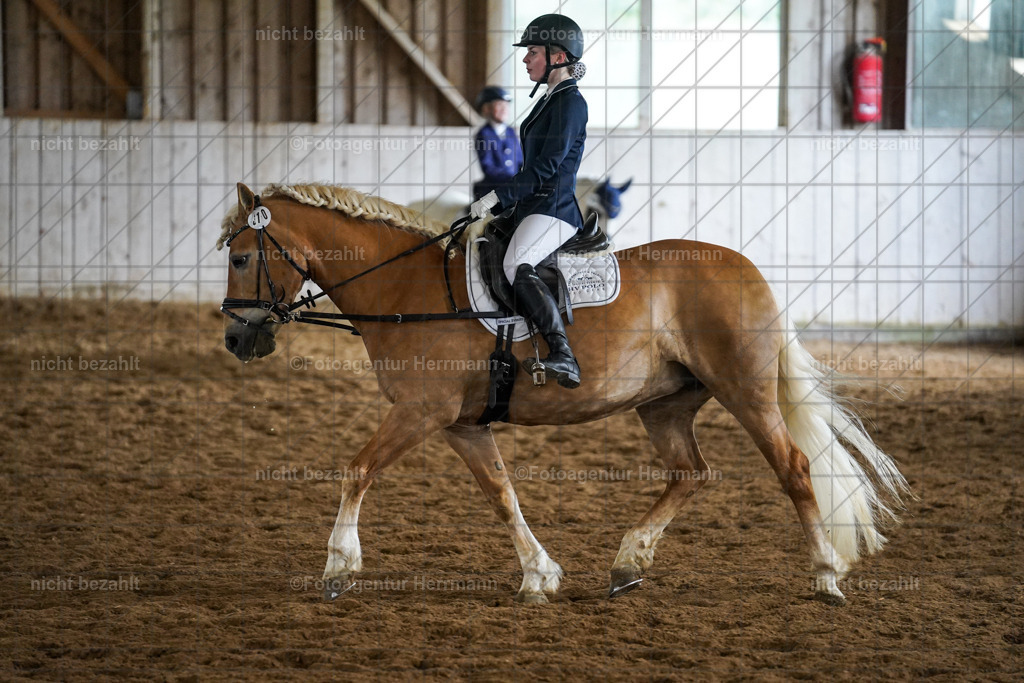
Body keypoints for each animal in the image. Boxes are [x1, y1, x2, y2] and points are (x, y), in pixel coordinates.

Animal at [219, 181, 909, 605]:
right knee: (691, 473)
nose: (235, 336)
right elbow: (502, 494)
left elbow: (356, 470)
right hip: (664, 403)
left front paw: (338, 566)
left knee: (793, 467)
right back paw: (629, 563)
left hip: (745, 391)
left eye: (239, 258)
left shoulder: (421, 412)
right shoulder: (461, 424)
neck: (403, 288)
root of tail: (748, 270)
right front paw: (538, 575)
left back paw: (826, 576)